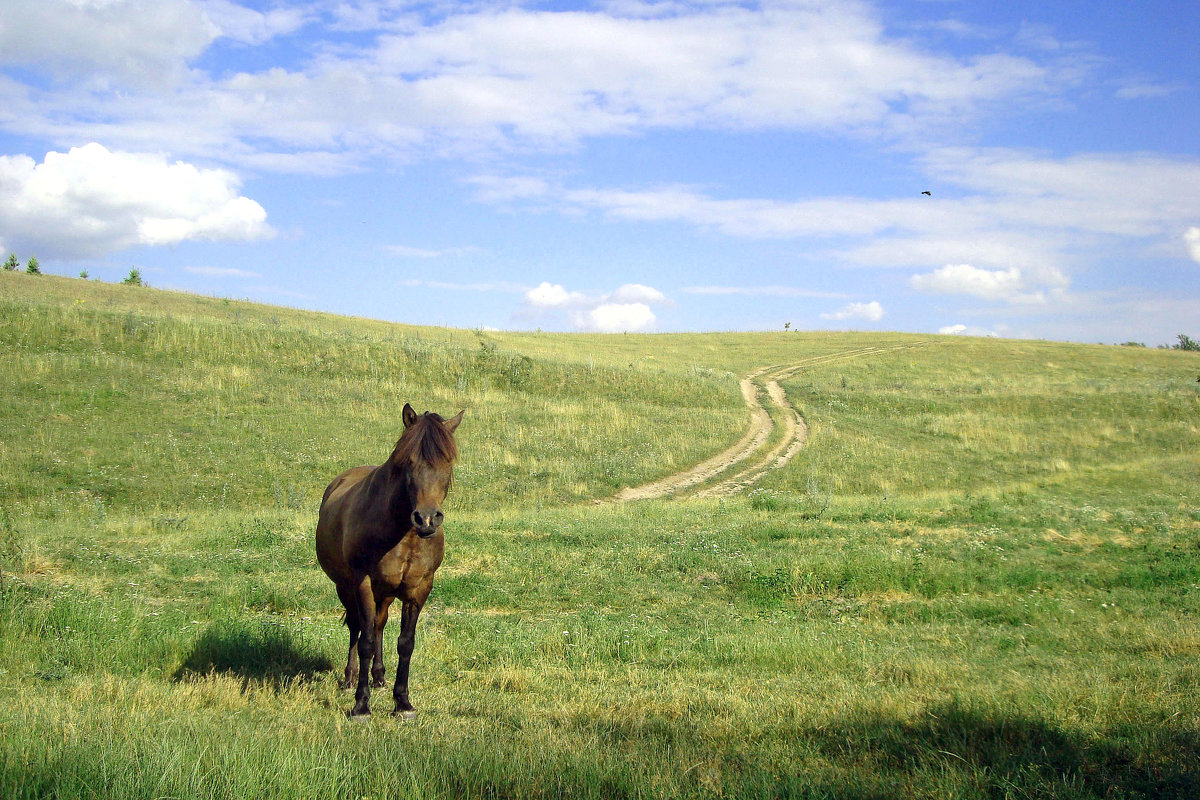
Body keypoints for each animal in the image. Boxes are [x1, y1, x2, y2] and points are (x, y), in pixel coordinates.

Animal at [314, 400, 463, 719]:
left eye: (447, 463)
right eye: (408, 463)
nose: (426, 519)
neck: (401, 534)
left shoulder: (419, 588)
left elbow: (405, 643)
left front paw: (403, 702)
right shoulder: (363, 584)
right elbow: (366, 641)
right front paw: (361, 705)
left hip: (386, 592)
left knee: (379, 623)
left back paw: (380, 677)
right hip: (346, 587)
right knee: (358, 627)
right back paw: (350, 678)